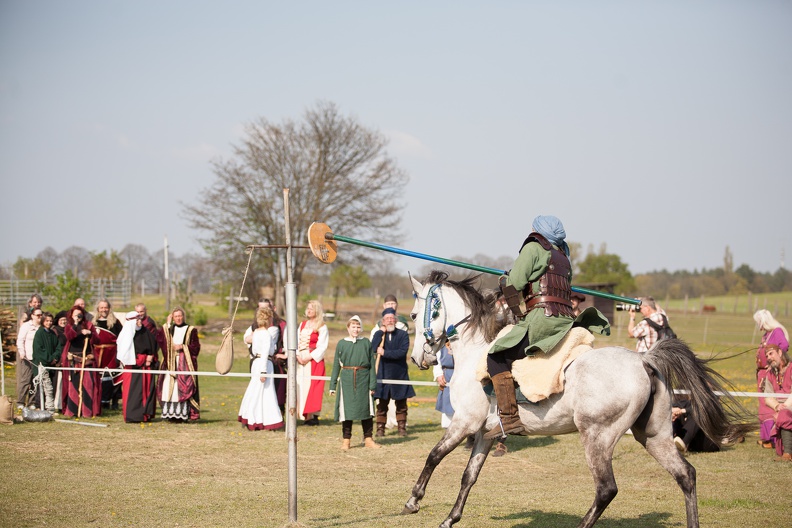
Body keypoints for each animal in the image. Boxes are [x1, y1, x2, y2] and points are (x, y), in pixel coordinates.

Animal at [406, 272, 752, 528]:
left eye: (412, 314)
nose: (418, 358)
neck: (474, 352)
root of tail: (644, 360)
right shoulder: (484, 433)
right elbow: (469, 475)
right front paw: (450, 518)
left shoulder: (464, 423)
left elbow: (434, 456)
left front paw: (414, 499)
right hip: (653, 436)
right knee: (685, 475)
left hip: (597, 436)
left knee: (606, 489)